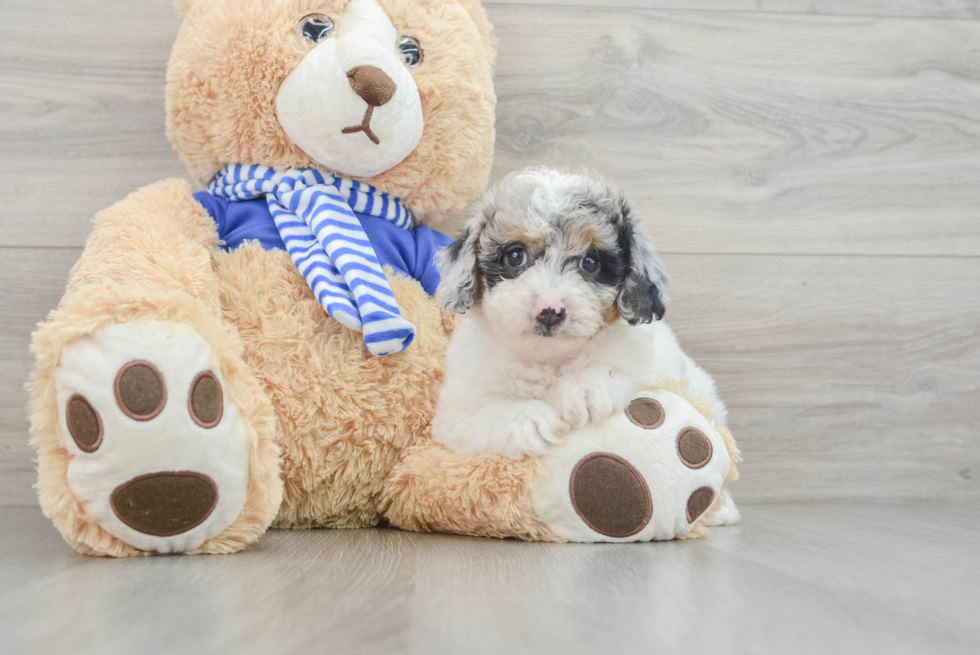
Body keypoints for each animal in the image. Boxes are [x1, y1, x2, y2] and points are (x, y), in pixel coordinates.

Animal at [430, 169, 728, 466]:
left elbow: (629, 376)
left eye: (591, 262)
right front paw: (530, 421)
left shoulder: (657, 370)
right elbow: (482, 416)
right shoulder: (455, 414)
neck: (548, 359)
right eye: (515, 256)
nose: (550, 309)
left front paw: (586, 389)